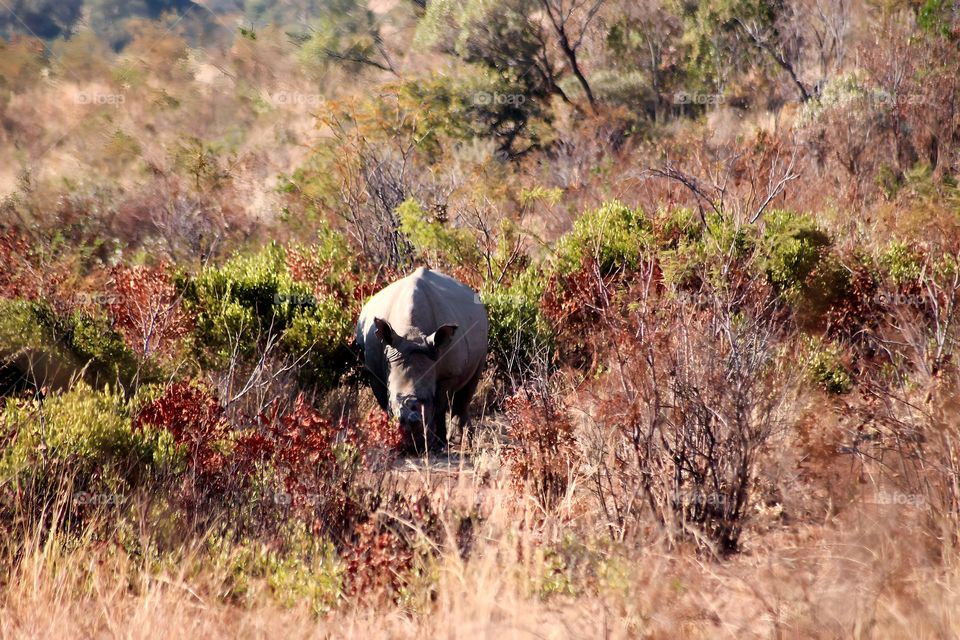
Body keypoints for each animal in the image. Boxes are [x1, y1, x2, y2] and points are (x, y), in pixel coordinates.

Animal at [354, 268, 488, 452]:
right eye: (393, 398)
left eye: (428, 398)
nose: (413, 446)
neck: (412, 333)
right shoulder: (375, 372)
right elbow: (383, 403)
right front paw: (393, 441)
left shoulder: (448, 374)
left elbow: (439, 406)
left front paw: (439, 444)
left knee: (468, 387)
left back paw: (460, 441)